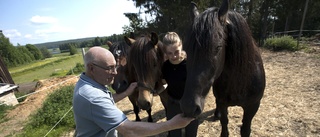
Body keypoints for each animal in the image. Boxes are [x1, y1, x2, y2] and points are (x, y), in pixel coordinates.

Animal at [179, 0, 266, 136]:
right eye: (186, 49)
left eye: (218, 47)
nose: (189, 108)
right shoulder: (223, 103)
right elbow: (224, 123)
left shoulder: (253, 107)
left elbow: (245, 129)